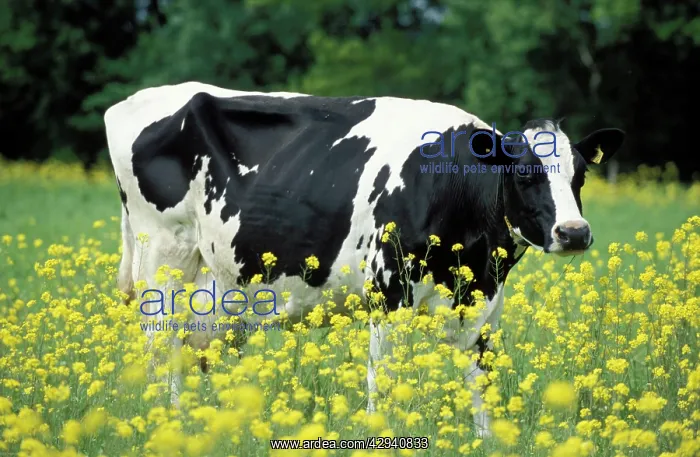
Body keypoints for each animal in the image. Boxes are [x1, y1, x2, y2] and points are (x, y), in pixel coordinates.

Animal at [104, 81, 625, 438]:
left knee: (199, 346)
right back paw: (167, 422)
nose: (574, 233)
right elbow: (384, 381)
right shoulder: (389, 293)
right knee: (161, 344)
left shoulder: (482, 301)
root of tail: (129, 102)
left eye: (580, 175)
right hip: (163, 254)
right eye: (524, 175)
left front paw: (487, 441)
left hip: (222, 286)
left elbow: (483, 382)